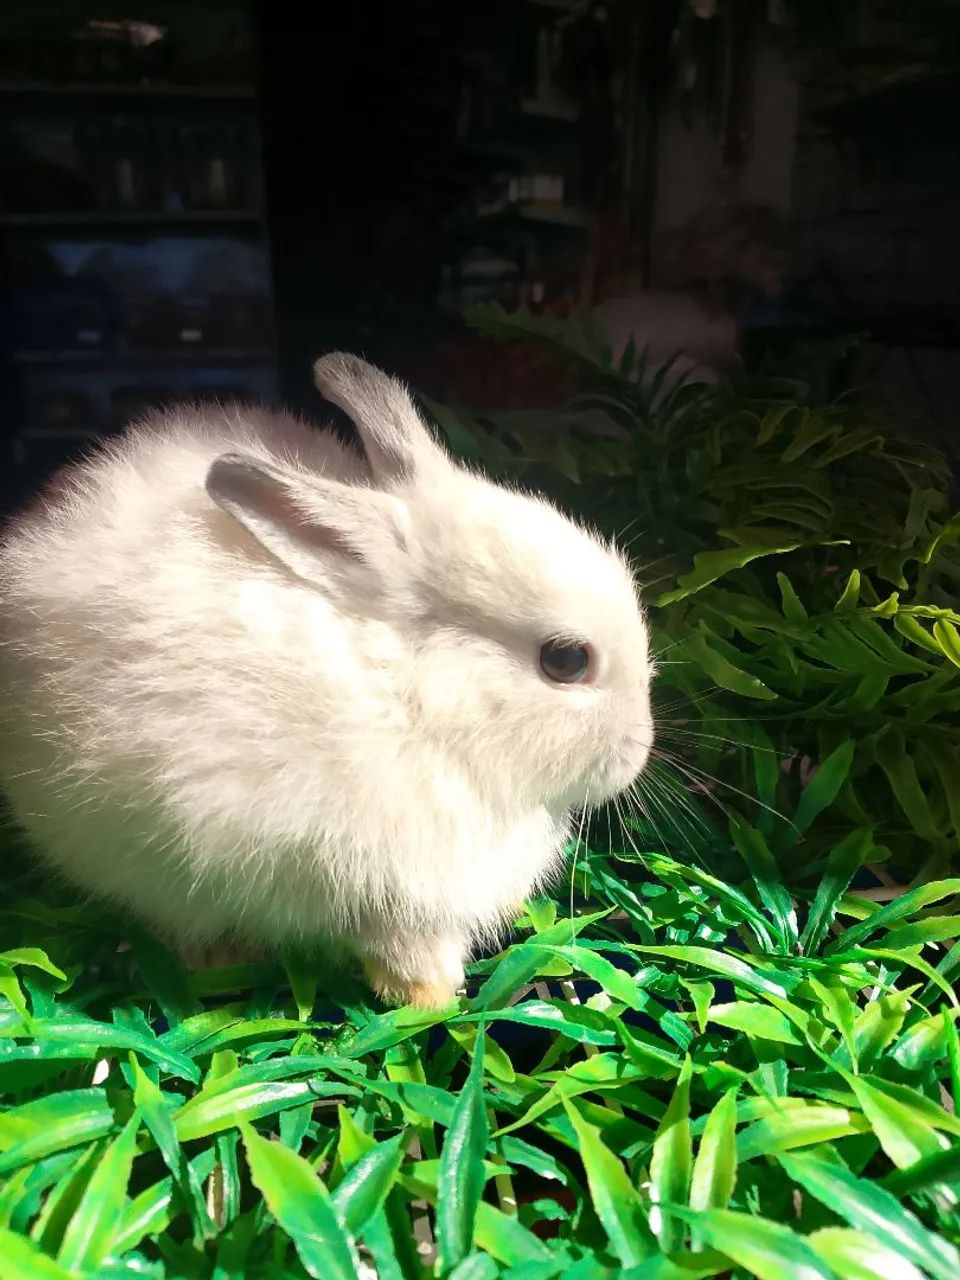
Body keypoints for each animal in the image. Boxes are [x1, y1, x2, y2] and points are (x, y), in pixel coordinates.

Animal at [0, 353, 654, 1007]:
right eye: (565, 661)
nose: (638, 753)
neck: (408, 698)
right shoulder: (377, 881)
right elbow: (404, 945)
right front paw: (431, 1000)